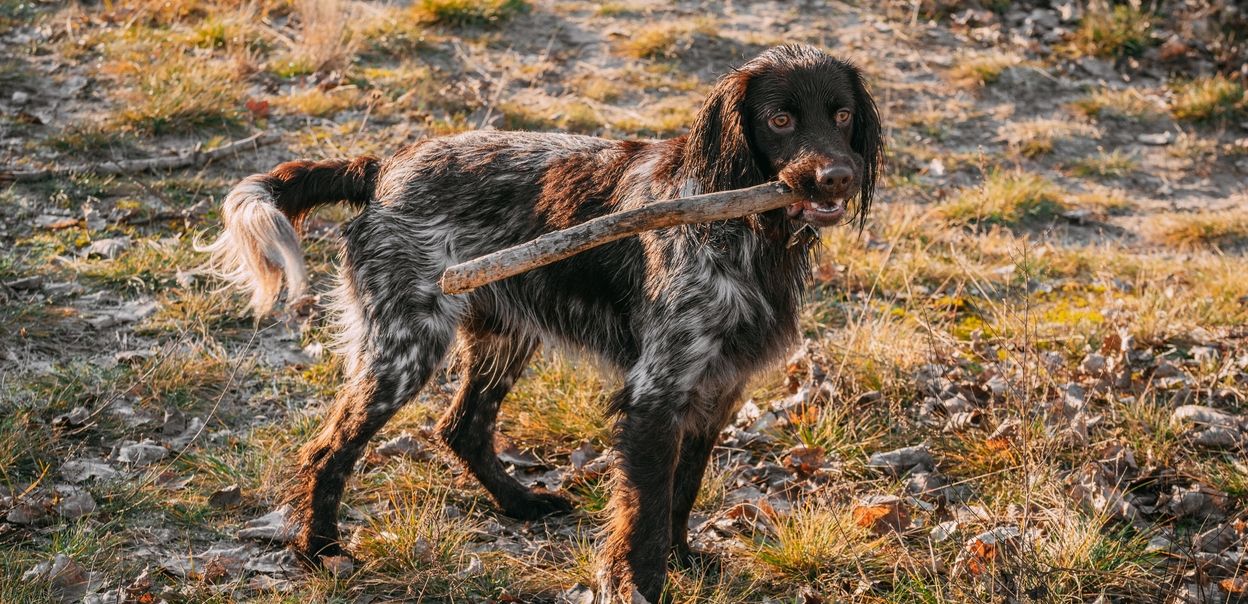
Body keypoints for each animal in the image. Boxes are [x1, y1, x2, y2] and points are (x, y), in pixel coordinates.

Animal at [202, 44, 878, 601]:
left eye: (843, 115)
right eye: (780, 120)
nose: (838, 176)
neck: (747, 232)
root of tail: (382, 168)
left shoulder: (717, 388)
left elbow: (680, 493)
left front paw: (685, 561)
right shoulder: (657, 393)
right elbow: (644, 512)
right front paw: (642, 584)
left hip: (505, 334)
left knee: (462, 427)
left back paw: (520, 502)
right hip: (406, 347)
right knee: (329, 448)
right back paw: (320, 550)